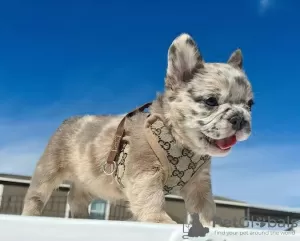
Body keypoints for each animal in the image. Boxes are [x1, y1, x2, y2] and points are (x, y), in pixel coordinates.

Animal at [22, 33, 254, 225]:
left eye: (250, 104)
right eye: (211, 101)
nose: (239, 118)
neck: (181, 142)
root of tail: (70, 120)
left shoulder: (199, 185)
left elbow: (204, 208)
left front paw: (209, 226)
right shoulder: (145, 175)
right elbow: (152, 199)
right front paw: (160, 221)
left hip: (91, 179)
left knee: (76, 198)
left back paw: (83, 218)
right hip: (49, 169)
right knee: (37, 195)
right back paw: (30, 214)